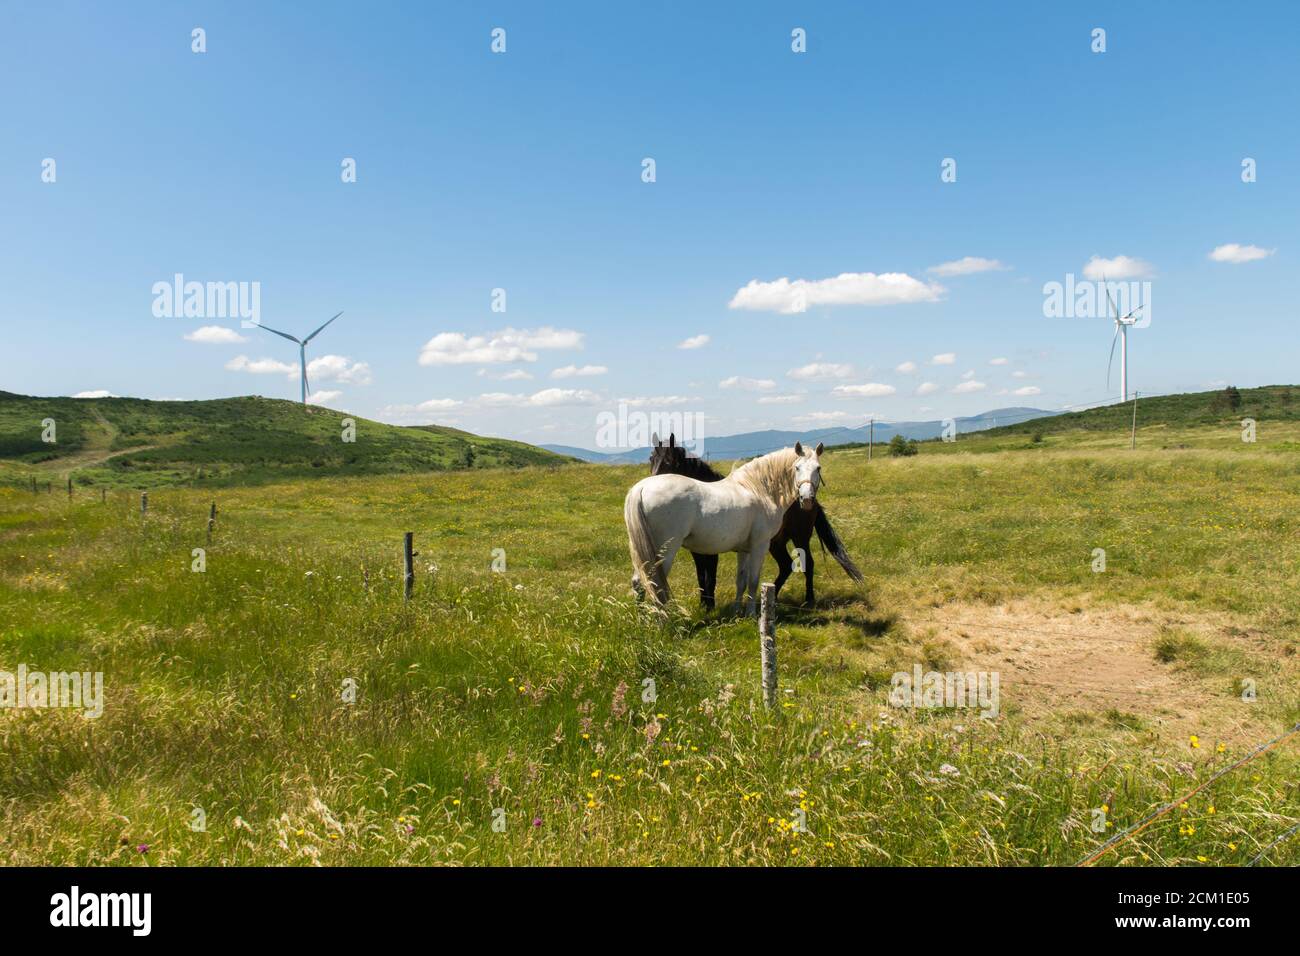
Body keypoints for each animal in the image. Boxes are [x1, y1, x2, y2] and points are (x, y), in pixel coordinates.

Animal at [625, 442, 825, 615]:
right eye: (797, 467)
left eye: (818, 468)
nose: (807, 500)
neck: (758, 489)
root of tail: (641, 488)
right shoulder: (759, 546)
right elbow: (753, 581)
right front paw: (752, 614)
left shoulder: (744, 549)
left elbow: (741, 580)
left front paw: (737, 612)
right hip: (664, 551)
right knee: (653, 582)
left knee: (638, 581)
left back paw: (642, 619)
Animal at [649, 433, 863, 607]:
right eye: (651, 458)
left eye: (669, 461)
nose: (650, 486)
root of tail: (812, 502)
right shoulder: (699, 551)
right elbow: (702, 578)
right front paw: (705, 606)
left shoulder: (711, 552)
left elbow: (710, 579)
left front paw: (710, 606)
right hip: (776, 543)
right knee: (785, 566)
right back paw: (771, 597)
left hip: (799, 537)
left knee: (807, 564)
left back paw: (808, 600)